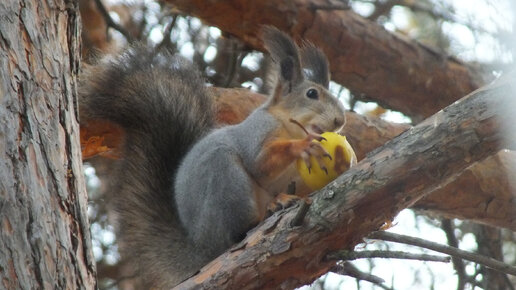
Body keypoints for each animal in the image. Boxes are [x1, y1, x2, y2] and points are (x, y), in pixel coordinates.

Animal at [79, 26, 346, 288]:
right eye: (312, 94)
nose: (340, 120)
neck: (289, 126)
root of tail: (203, 246)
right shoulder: (256, 133)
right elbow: (260, 163)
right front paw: (304, 145)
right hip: (226, 180)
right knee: (237, 232)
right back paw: (269, 210)